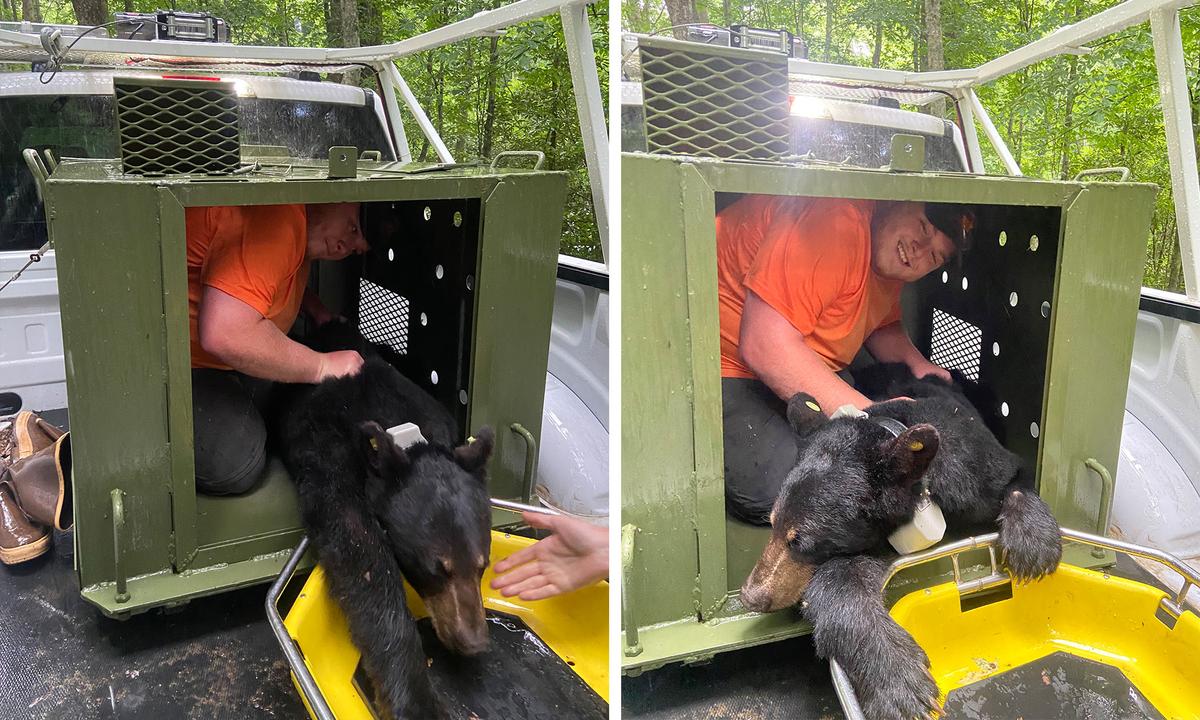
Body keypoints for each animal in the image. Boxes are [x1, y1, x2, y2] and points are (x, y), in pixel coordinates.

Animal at [276, 324, 492, 715]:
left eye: (483, 565)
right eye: (438, 569)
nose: (473, 642)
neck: (403, 431)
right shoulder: (330, 460)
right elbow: (362, 557)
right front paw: (417, 701)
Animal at [739, 364, 1060, 720]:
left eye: (801, 541)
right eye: (773, 524)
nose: (750, 595)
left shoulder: (973, 467)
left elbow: (1015, 475)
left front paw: (1034, 543)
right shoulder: (876, 540)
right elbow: (841, 583)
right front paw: (899, 681)